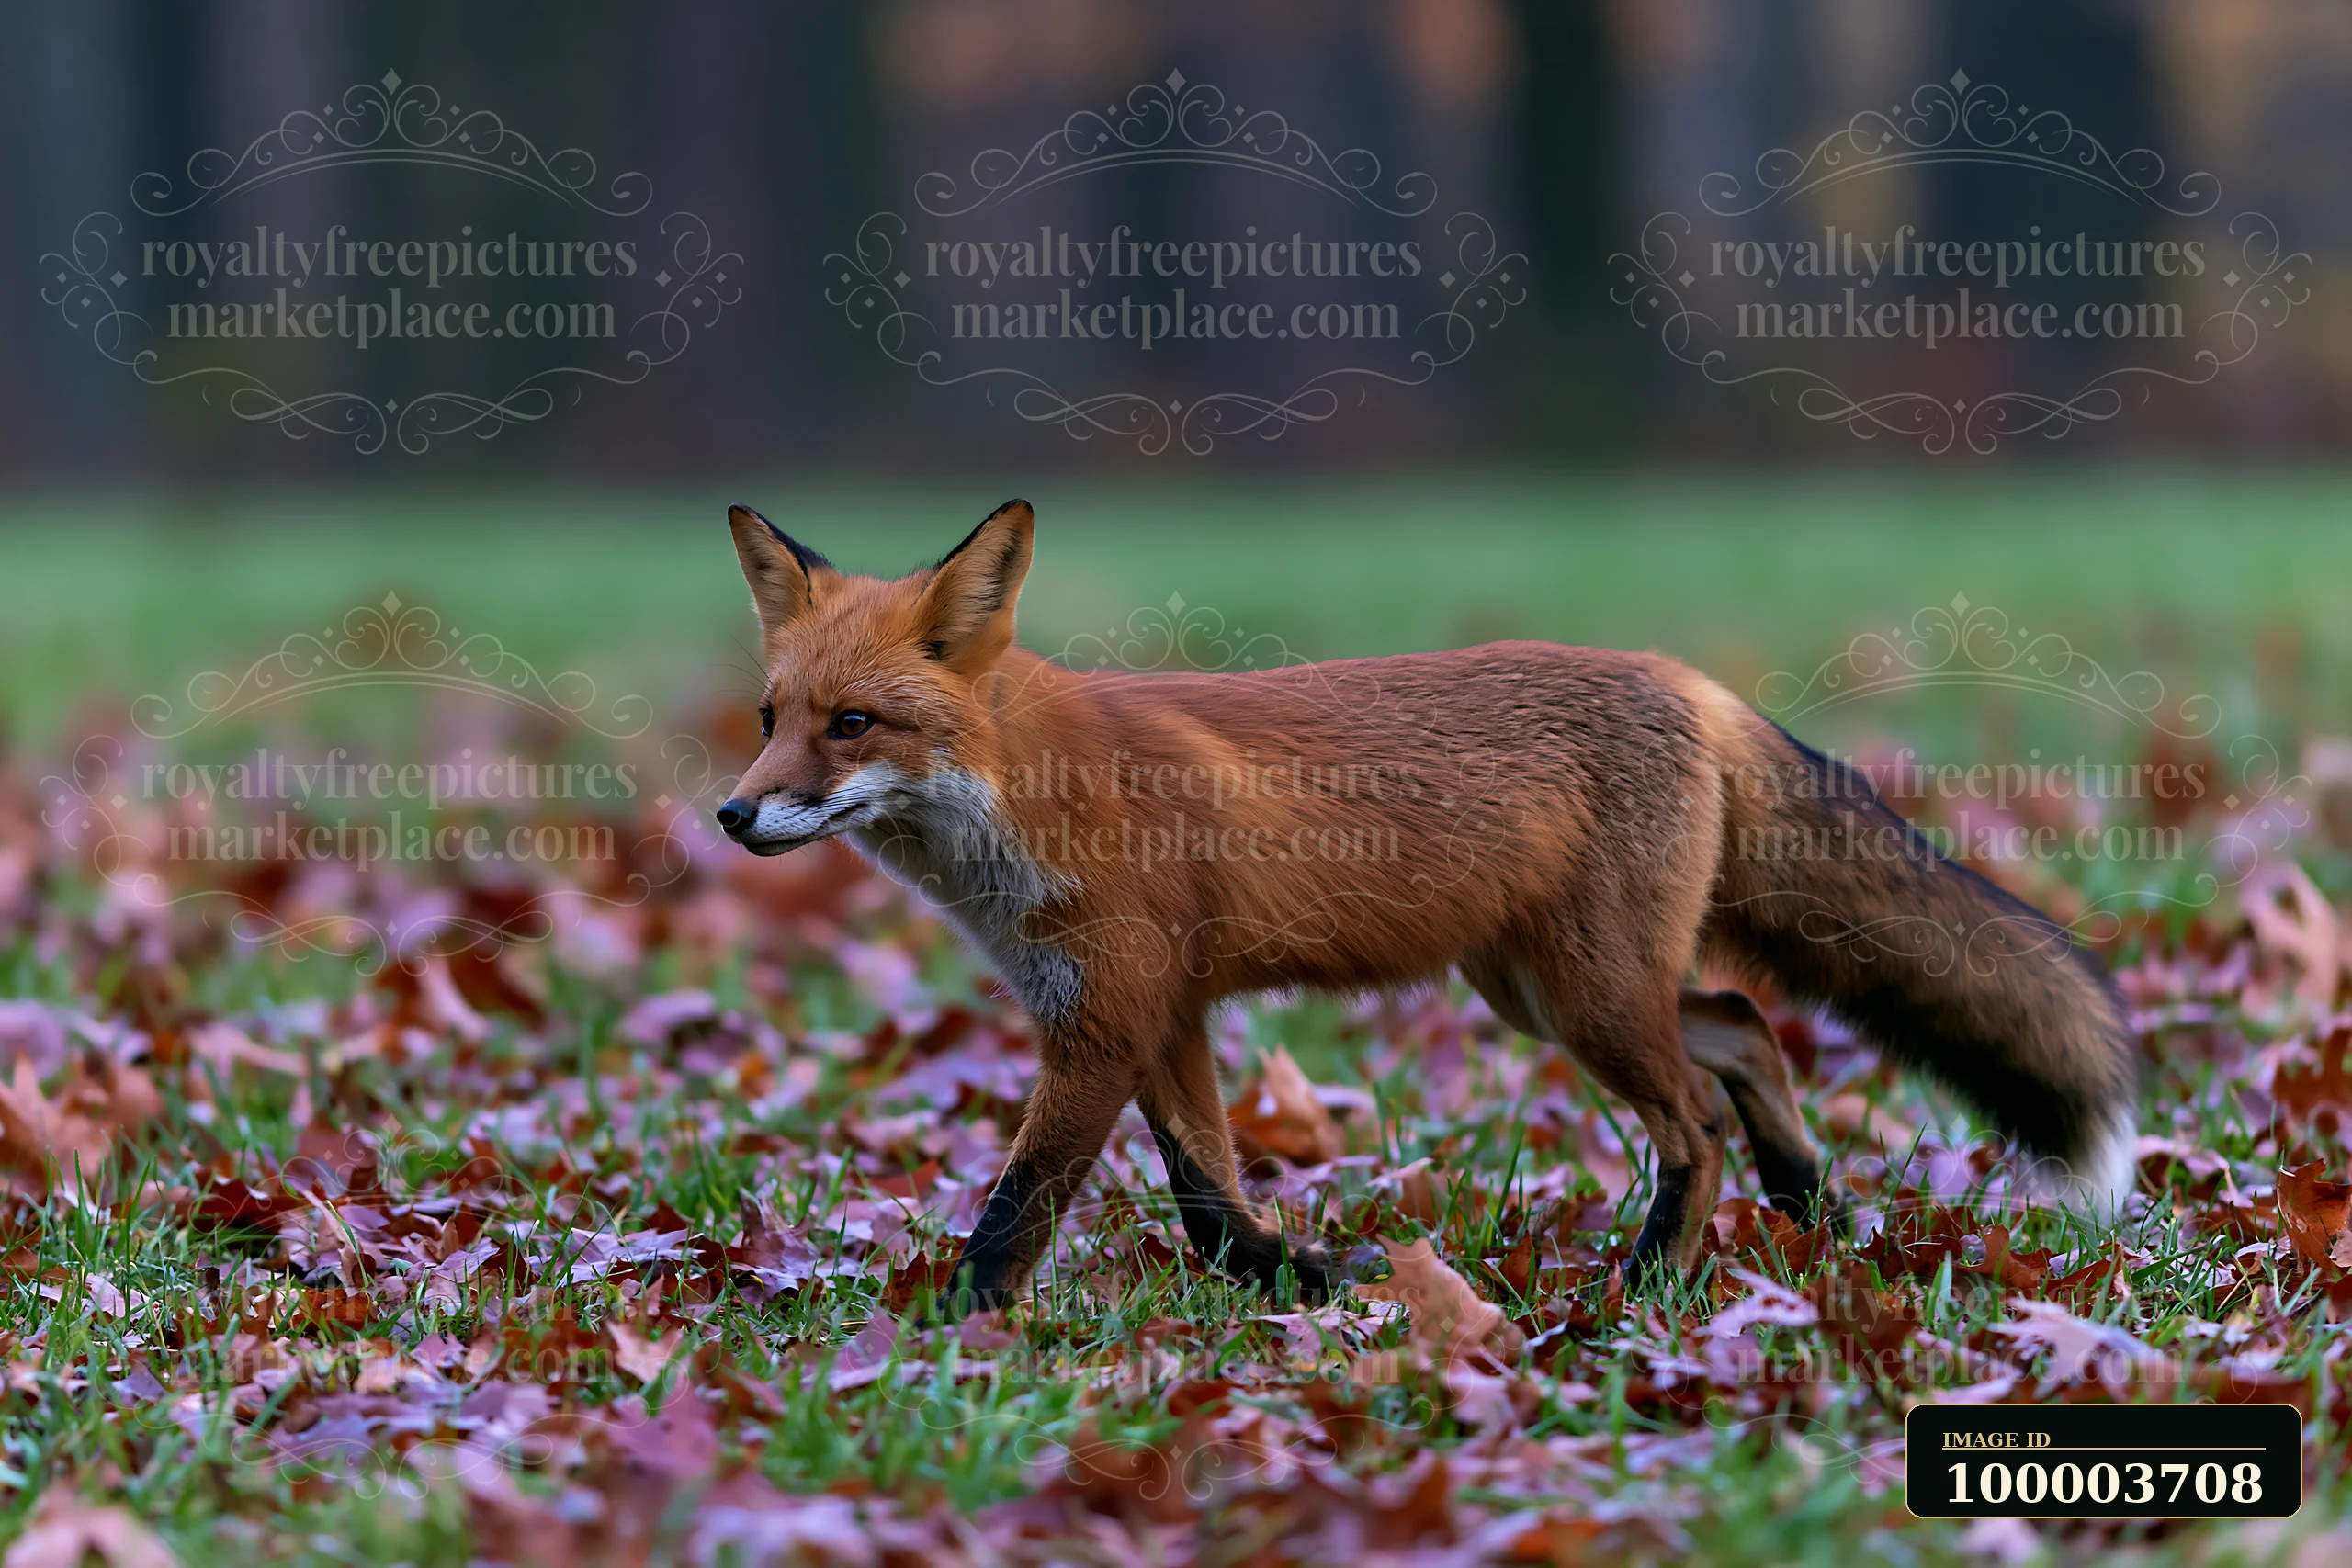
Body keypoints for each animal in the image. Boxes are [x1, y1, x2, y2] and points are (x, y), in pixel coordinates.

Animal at [714, 498, 2141, 1310]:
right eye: (772, 719)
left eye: (853, 725)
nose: (731, 817)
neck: (1027, 798)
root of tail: (1681, 674)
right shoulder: (1159, 1015)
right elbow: (1214, 1208)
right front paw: (1310, 1282)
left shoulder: (1108, 1017)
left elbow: (1017, 1211)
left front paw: (948, 1333)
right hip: (1542, 991)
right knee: (1744, 1026)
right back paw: (1814, 1208)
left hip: (1586, 999)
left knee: (1694, 1118)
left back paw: (1649, 1288)